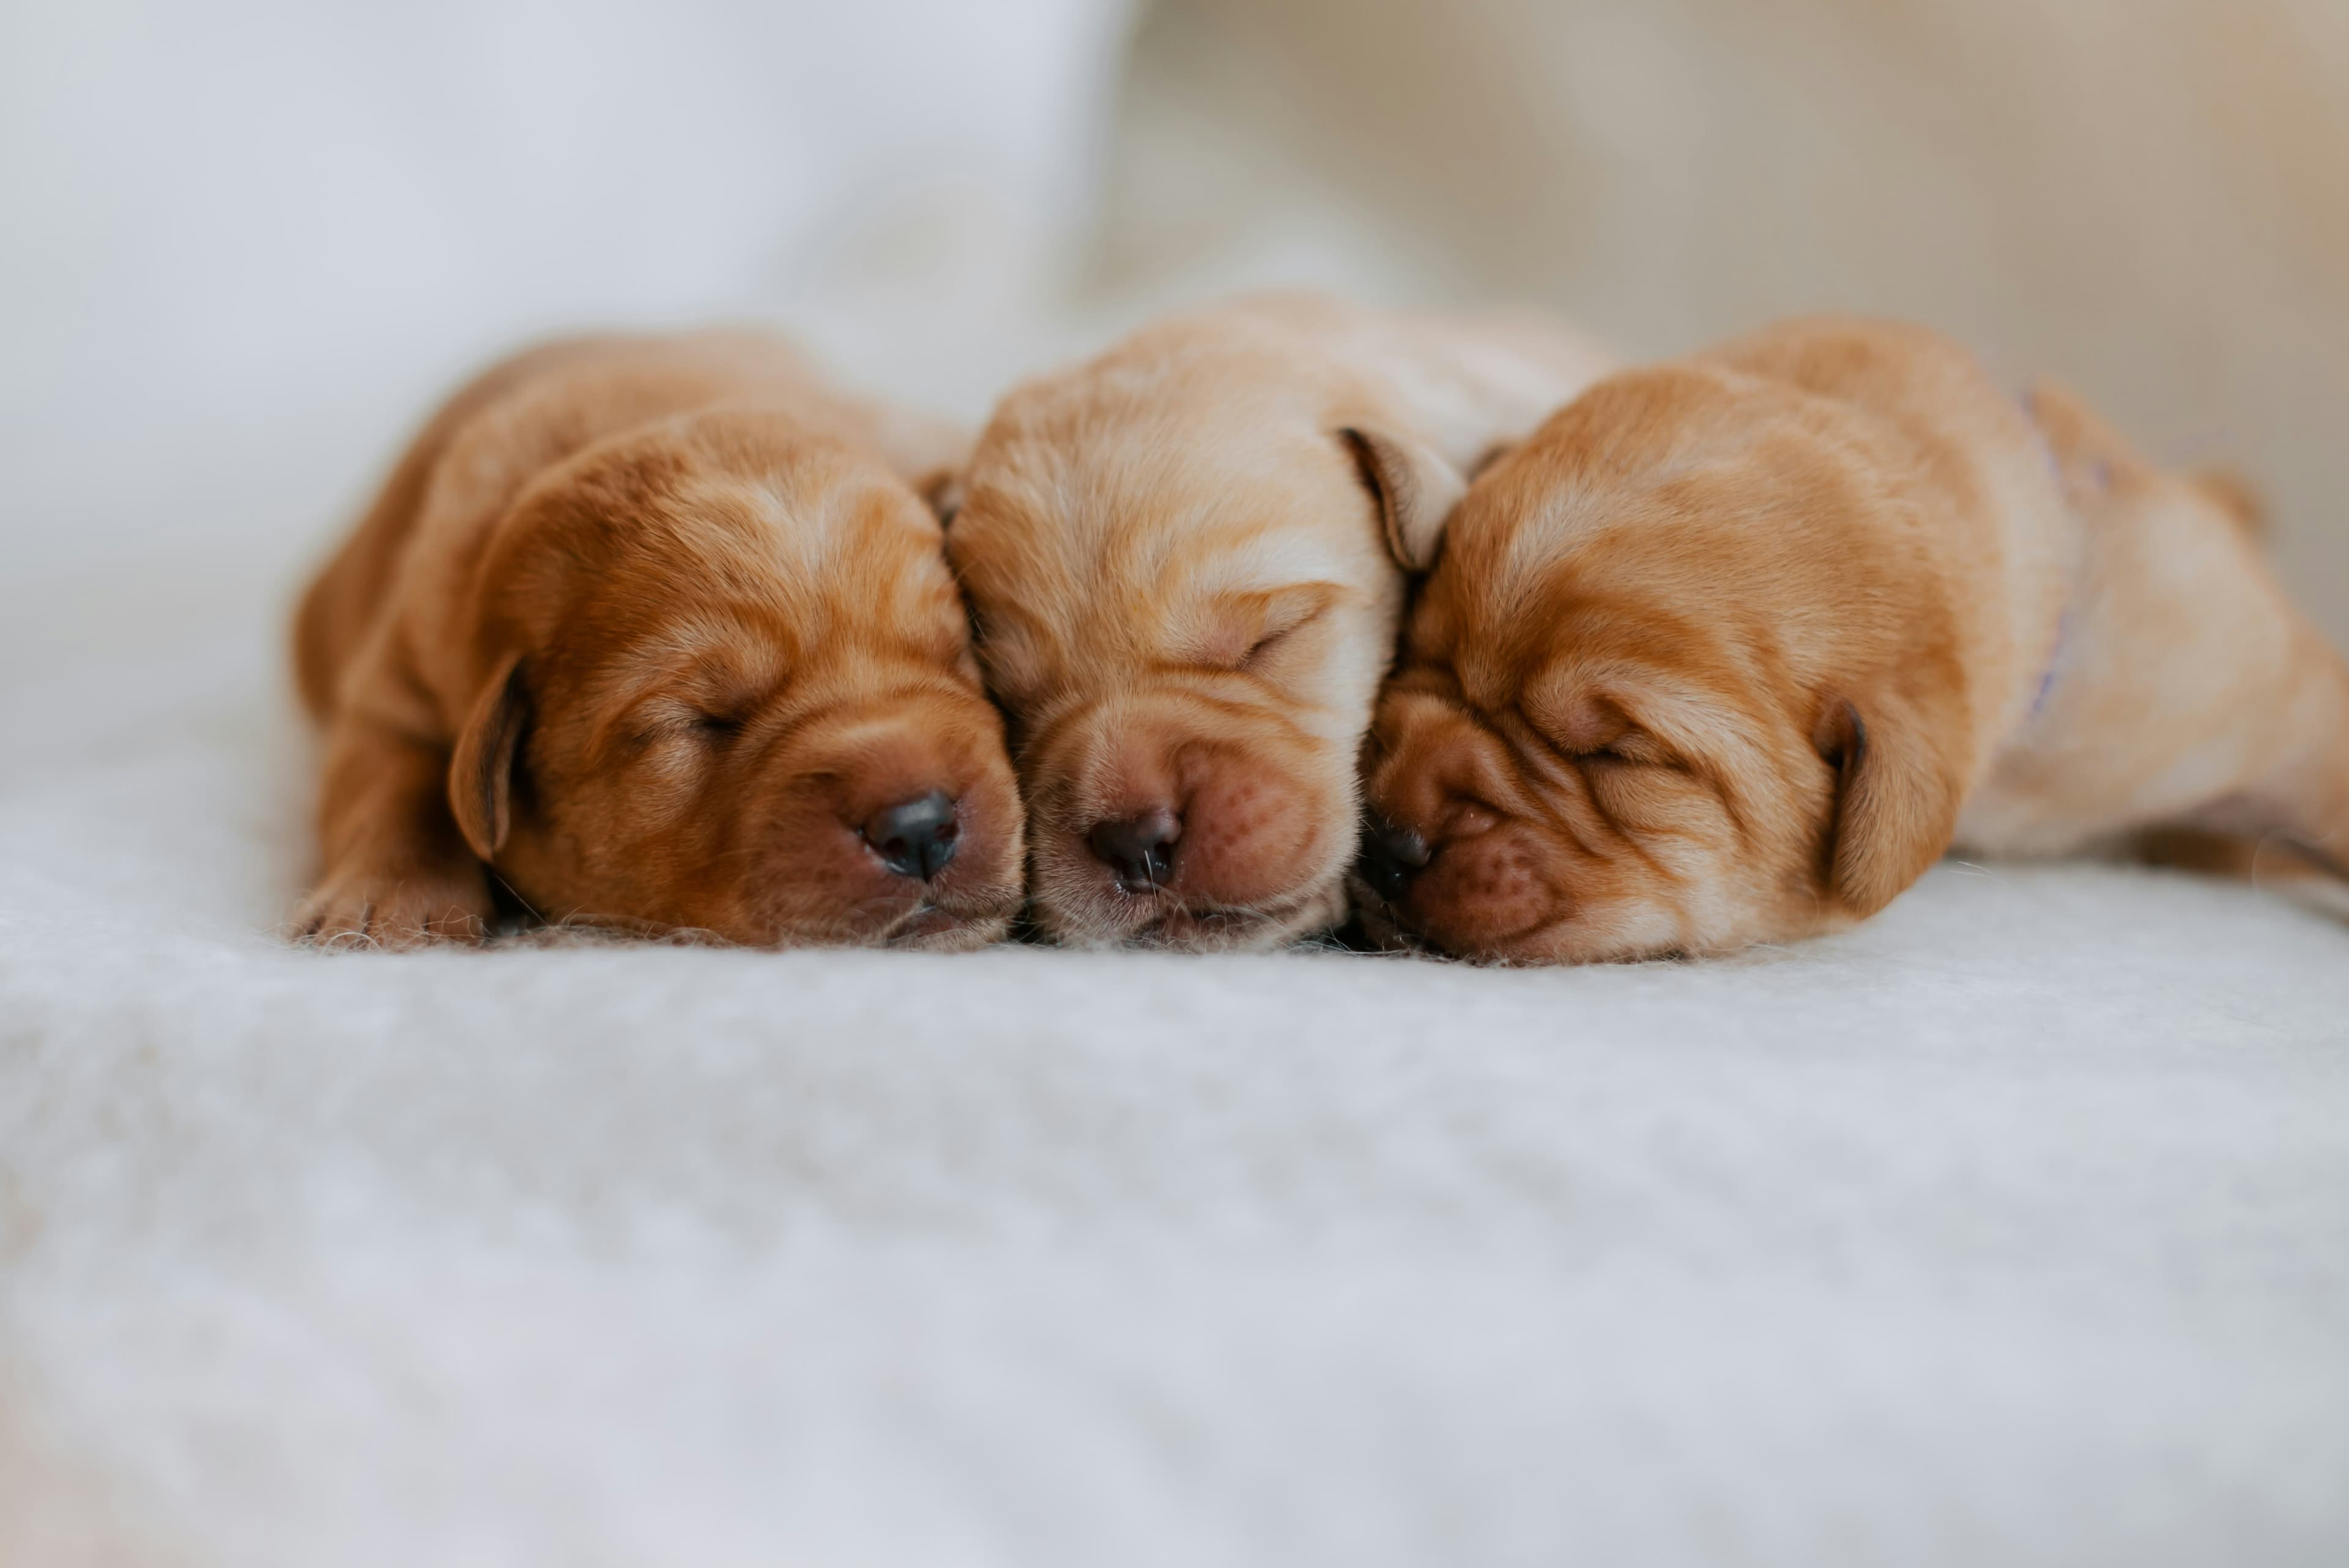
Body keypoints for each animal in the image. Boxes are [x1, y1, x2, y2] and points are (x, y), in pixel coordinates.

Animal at [289, 326, 1024, 948]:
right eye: (698, 722)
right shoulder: (397, 675)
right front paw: (384, 906)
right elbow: (390, 781)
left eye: (959, 654)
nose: (919, 826)